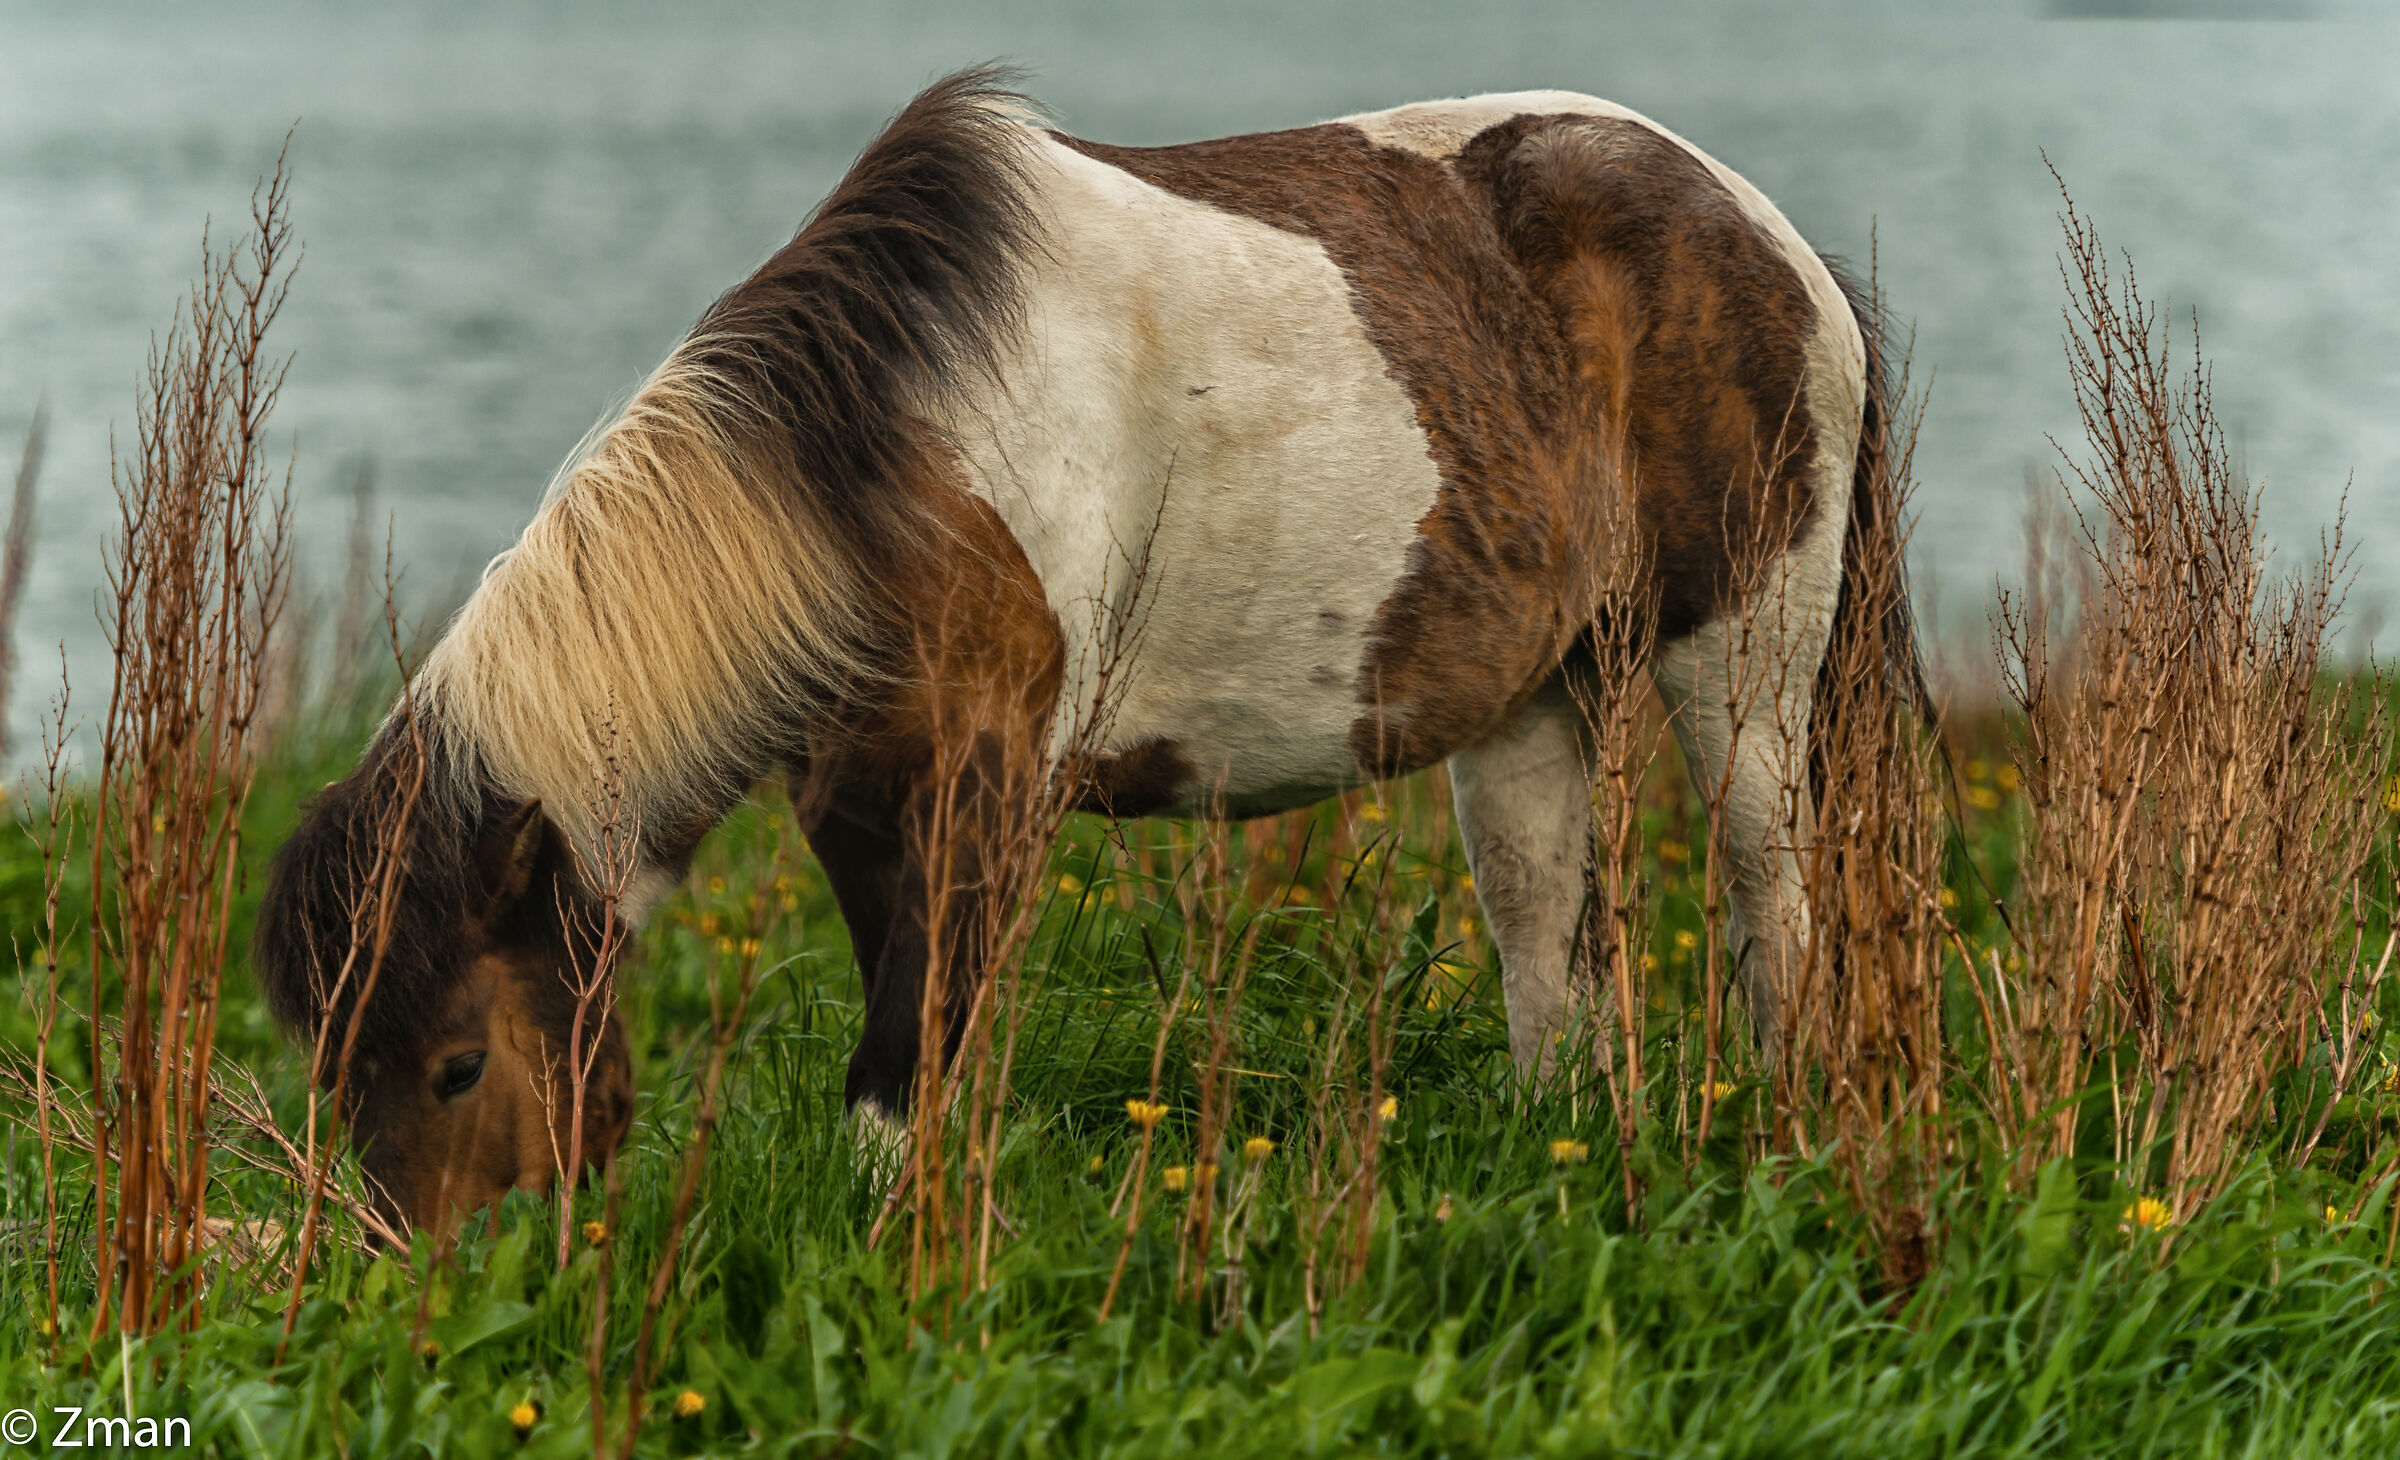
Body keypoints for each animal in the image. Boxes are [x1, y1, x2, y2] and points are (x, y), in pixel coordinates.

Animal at [255, 69, 1922, 1232]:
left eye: (458, 1064)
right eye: (337, 1072)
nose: (432, 1292)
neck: (904, 456)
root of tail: (1768, 234)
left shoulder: (977, 786)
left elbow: (903, 1058)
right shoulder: (857, 797)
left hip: (1744, 672)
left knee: (1773, 908)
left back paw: (1792, 1142)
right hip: (1530, 701)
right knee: (1540, 940)